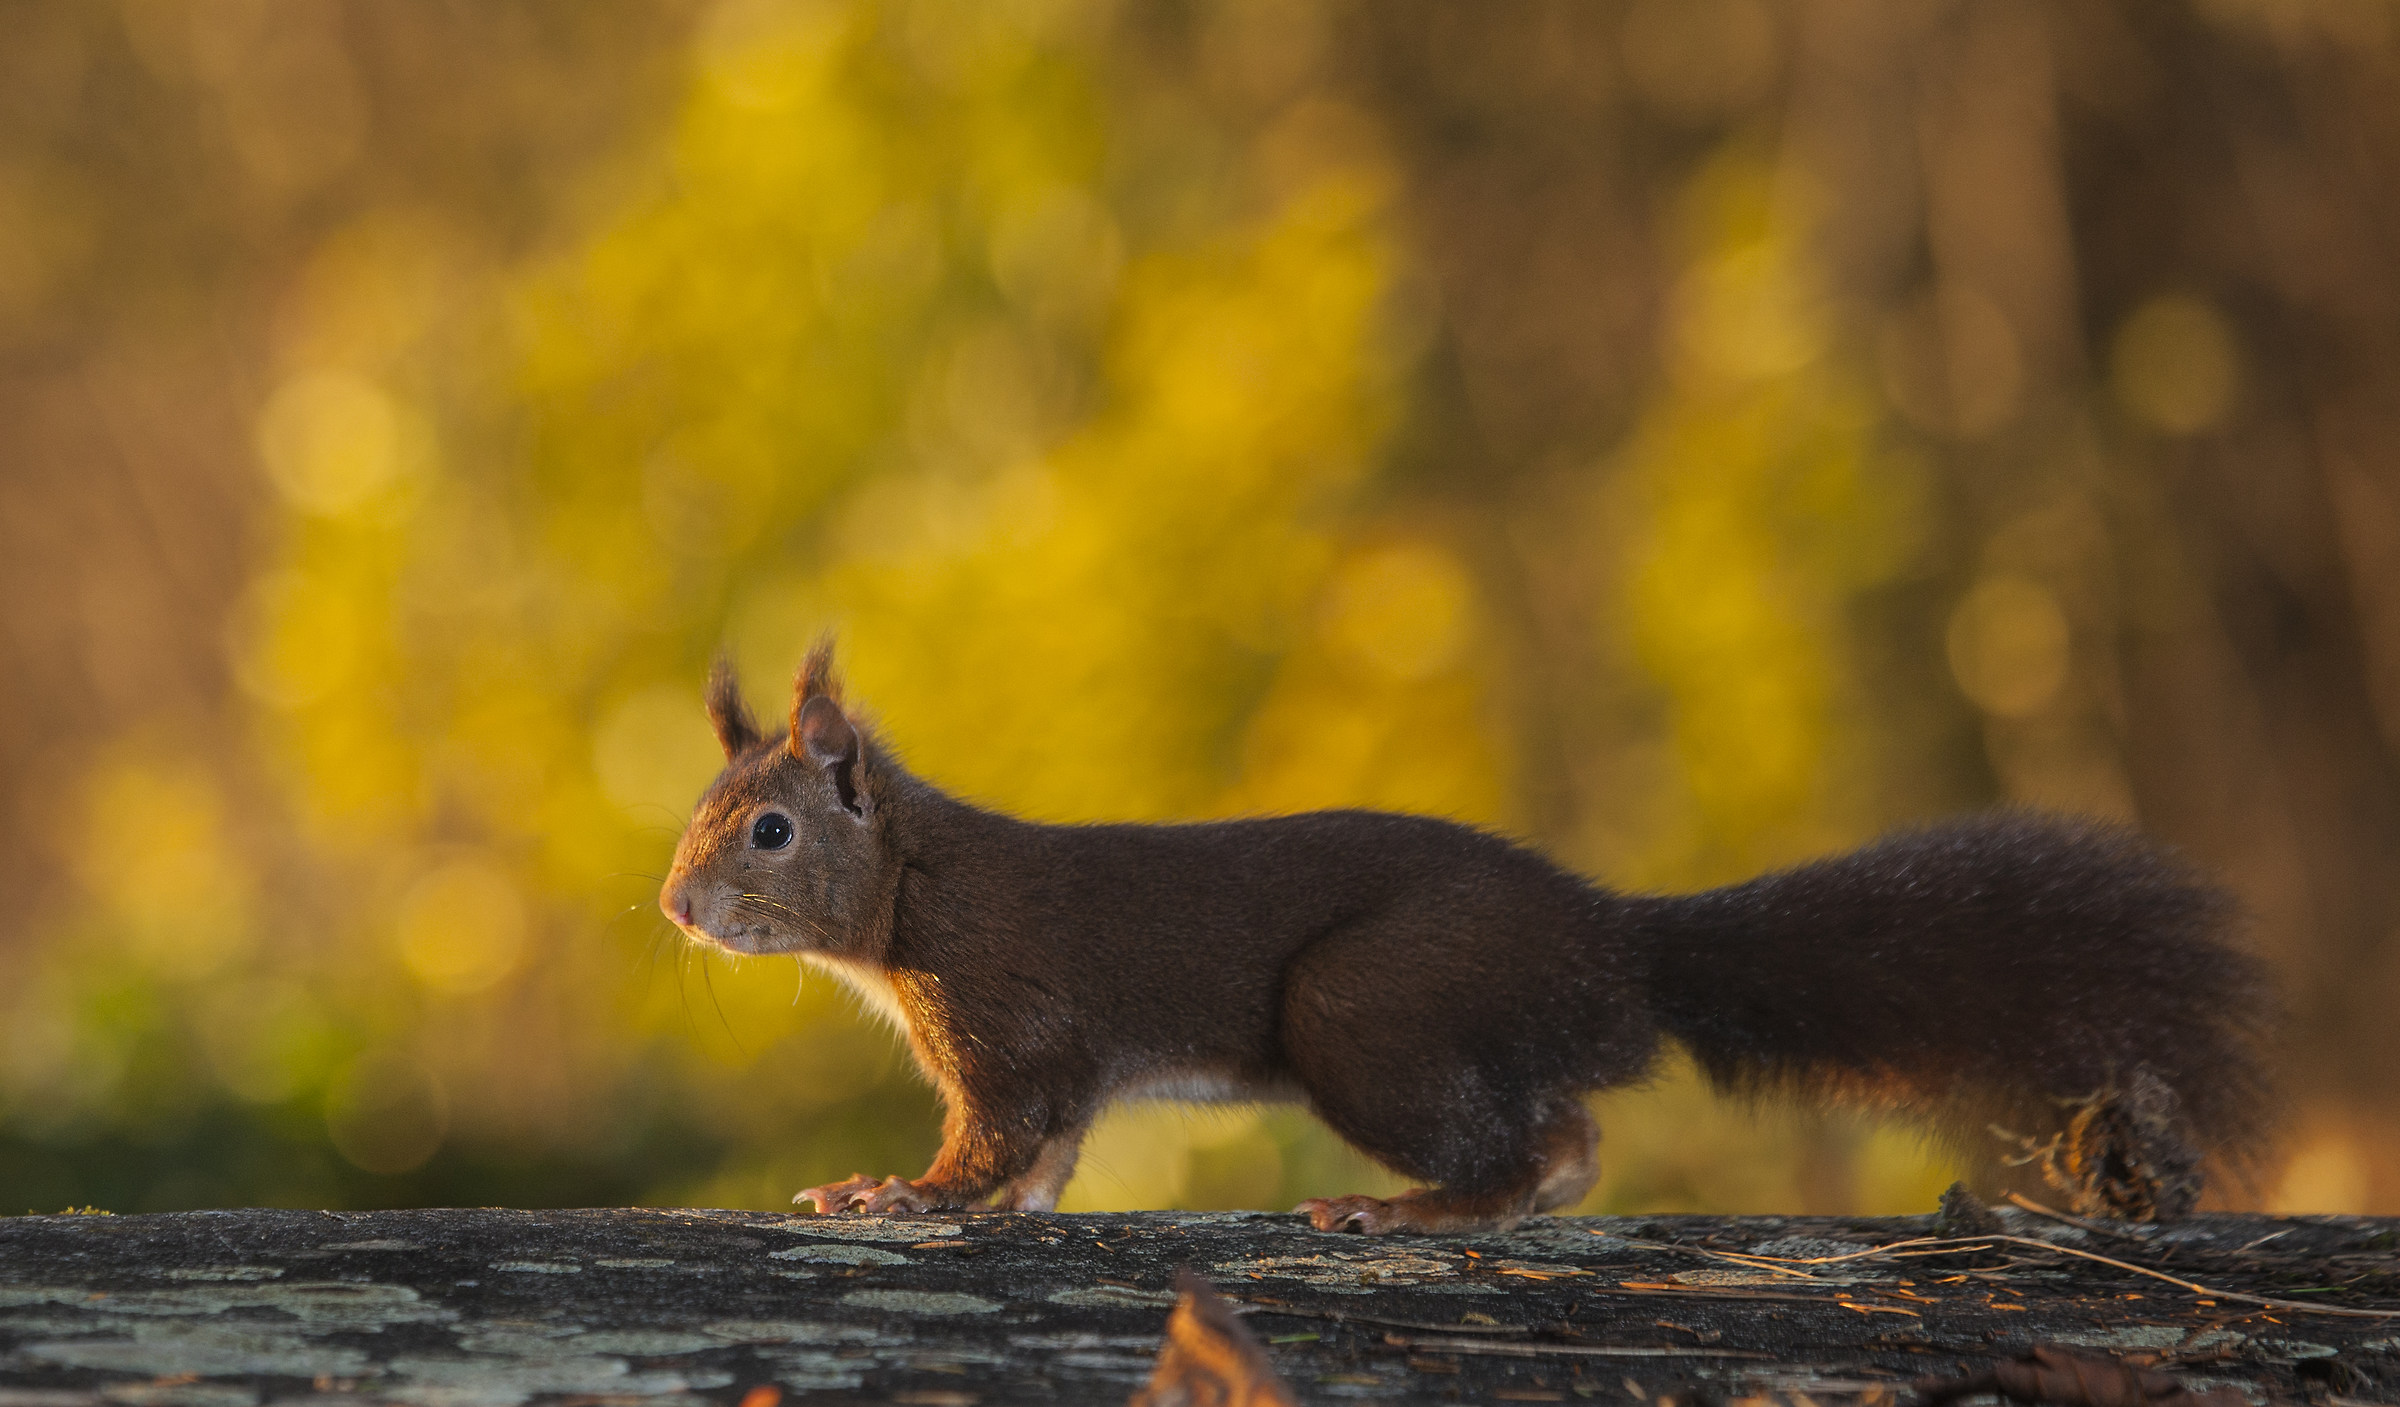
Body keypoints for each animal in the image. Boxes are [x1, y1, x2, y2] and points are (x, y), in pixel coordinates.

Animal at [659, 641, 2274, 1233]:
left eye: (770, 831)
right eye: (700, 806)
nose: (674, 906)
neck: (908, 888)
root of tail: (1618, 947)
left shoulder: (1009, 1016)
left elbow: (992, 1142)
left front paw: (890, 1192)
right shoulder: (1050, 1069)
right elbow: (1046, 1159)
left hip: (1364, 1012)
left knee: (1529, 1138)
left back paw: (1419, 1211)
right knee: (1567, 1132)